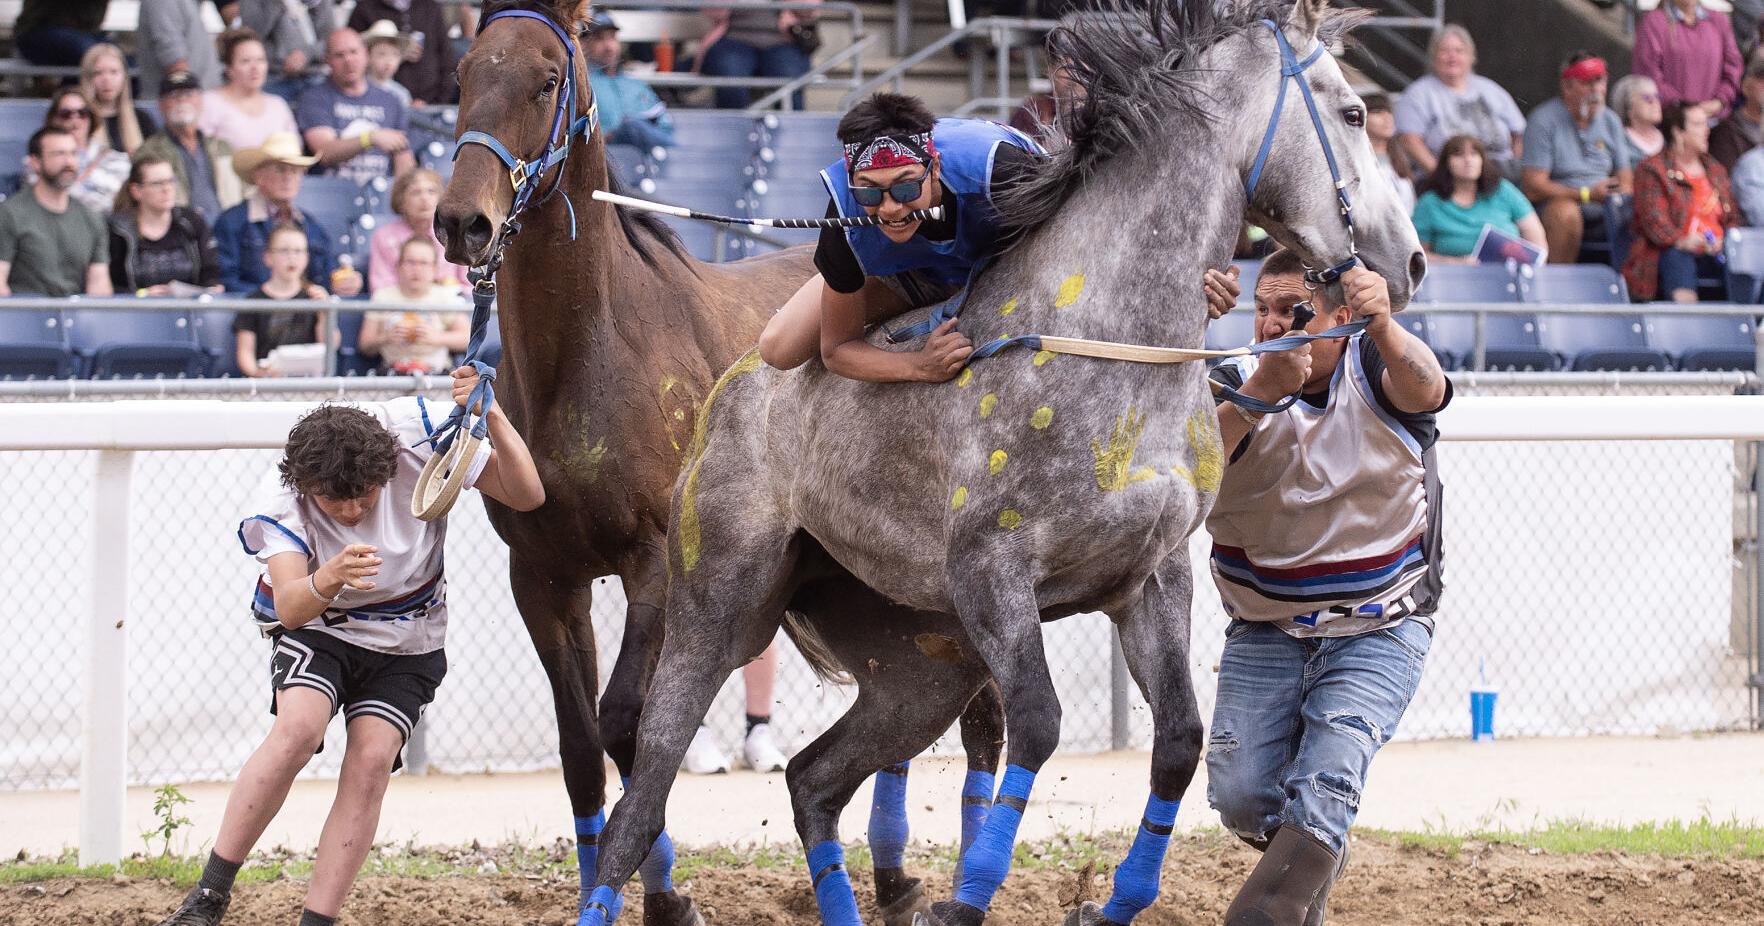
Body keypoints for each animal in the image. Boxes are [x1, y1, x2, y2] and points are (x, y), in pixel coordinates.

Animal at [435, 1, 1005, 923]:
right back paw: (891, 875)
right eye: (462, 71)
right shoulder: (543, 575)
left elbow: (628, 721)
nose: (462, 221)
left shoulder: (655, 567)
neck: (586, 356)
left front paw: (666, 896)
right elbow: (581, 744)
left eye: (547, 80)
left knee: (983, 719)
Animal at [576, 1, 1426, 925]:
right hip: (723, 604)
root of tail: (726, 396)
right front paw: (966, 898)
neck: (1113, 347)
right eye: (1354, 112)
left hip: (919, 668)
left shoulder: (1152, 575)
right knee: (647, 777)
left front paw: (1110, 902)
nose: (1409, 259)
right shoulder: (993, 572)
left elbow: (1178, 740)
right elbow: (1041, 722)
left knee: (813, 780)